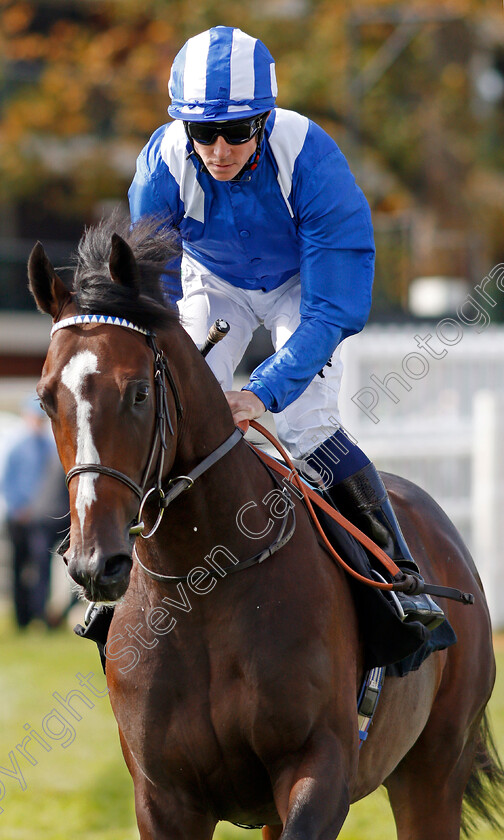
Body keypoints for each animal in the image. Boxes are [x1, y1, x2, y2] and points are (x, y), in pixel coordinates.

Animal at [28, 217, 504, 840]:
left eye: (138, 391)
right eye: (45, 398)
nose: (94, 562)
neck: (201, 581)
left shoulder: (317, 770)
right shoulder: (164, 797)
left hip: (434, 771)